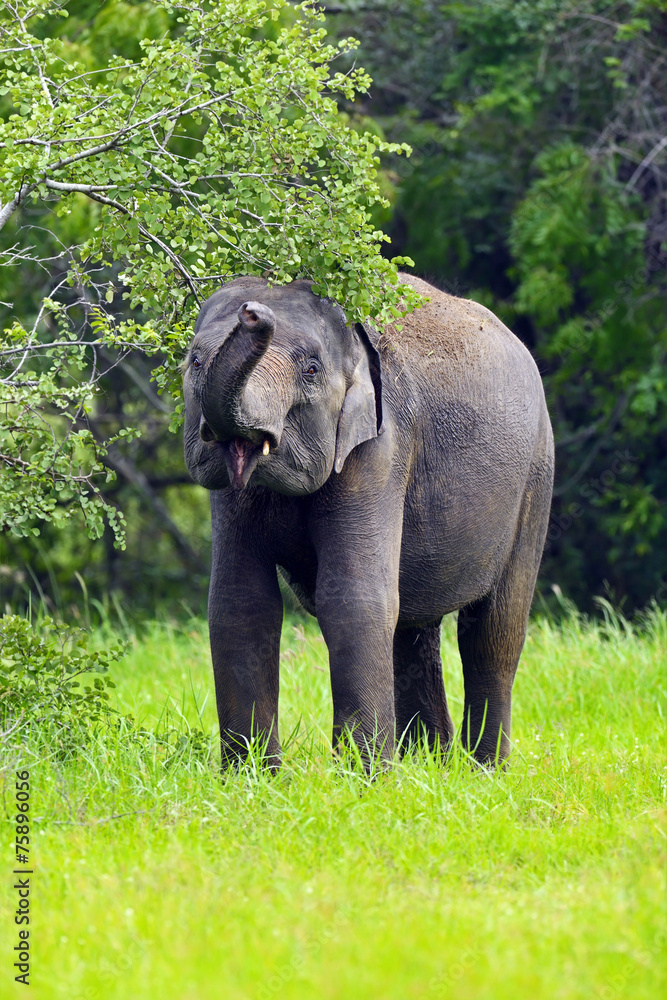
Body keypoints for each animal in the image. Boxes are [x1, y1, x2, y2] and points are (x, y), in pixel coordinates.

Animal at [183, 273, 554, 769]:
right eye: (195, 360)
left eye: (311, 370)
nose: (253, 312)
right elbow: (241, 603)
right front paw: (254, 777)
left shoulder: (380, 447)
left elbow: (352, 599)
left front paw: (363, 778)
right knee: (413, 629)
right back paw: (430, 765)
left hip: (535, 479)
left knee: (493, 630)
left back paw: (484, 772)